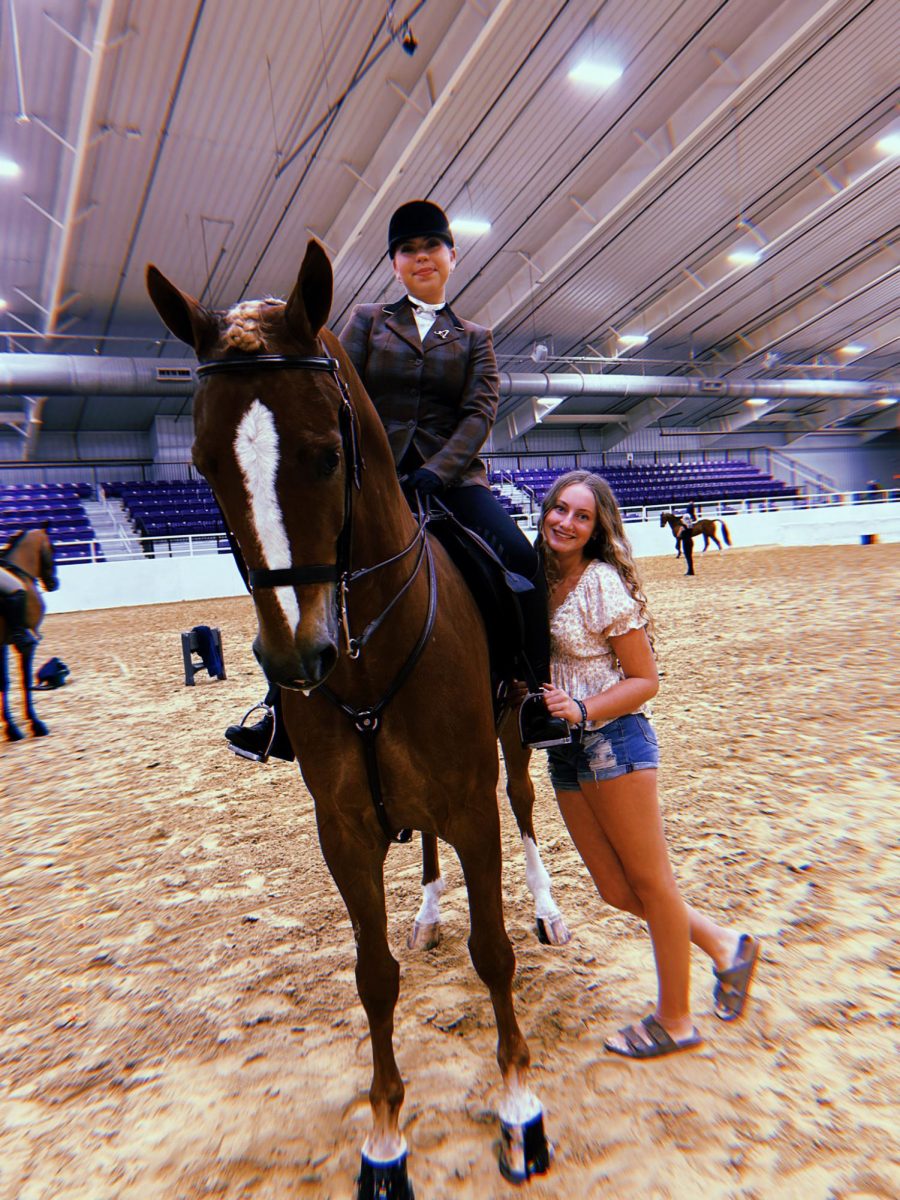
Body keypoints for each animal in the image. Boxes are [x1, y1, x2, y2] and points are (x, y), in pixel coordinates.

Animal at [0, 528, 59, 739]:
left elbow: (5, 682)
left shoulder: (2, 644)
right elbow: (23, 680)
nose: (53, 583)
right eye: (53, 548)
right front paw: (34, 724)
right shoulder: (24, 644)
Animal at [147, 238, 554, 1195]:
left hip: (512, 736)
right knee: (430, 852)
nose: (297, 660)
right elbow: (374, 976)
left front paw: (520, 1105)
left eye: (329, 454)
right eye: (204, 465)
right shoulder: (343, 827)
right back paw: (430, 912)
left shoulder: (472, 802)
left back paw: (549, 906)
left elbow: (495, 950)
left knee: (527, 808)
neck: (369, 646)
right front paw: (385, 1138)